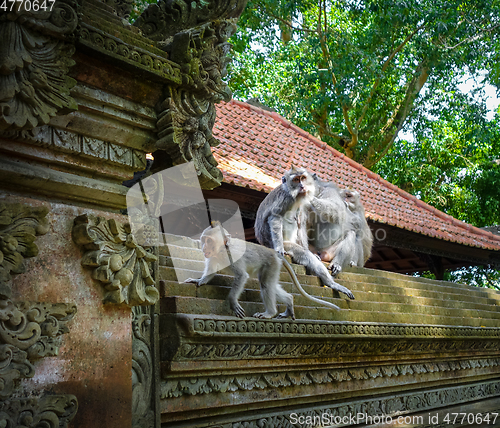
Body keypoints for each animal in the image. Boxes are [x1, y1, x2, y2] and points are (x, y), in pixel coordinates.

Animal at [184, 222, 344, 320]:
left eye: (209, 241)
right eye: (204, 240)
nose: (203, 247)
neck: (221, 250)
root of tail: (273, 252)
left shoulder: (231, 256)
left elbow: (242, 276)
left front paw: (232, 301)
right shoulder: (212, 256)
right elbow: (211, 271)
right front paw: (199, 280)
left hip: (271, 264)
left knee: (266, 284)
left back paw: (270, 313)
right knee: (269, 284)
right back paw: (289, 302)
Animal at [254, 166, 356, 300]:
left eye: (303, 178)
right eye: (296, 180)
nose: (302, 186)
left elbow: (303, 223)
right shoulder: (286, 199)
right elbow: (275, 217)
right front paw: (279, 248)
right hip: (285, 243)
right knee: (303, 252)